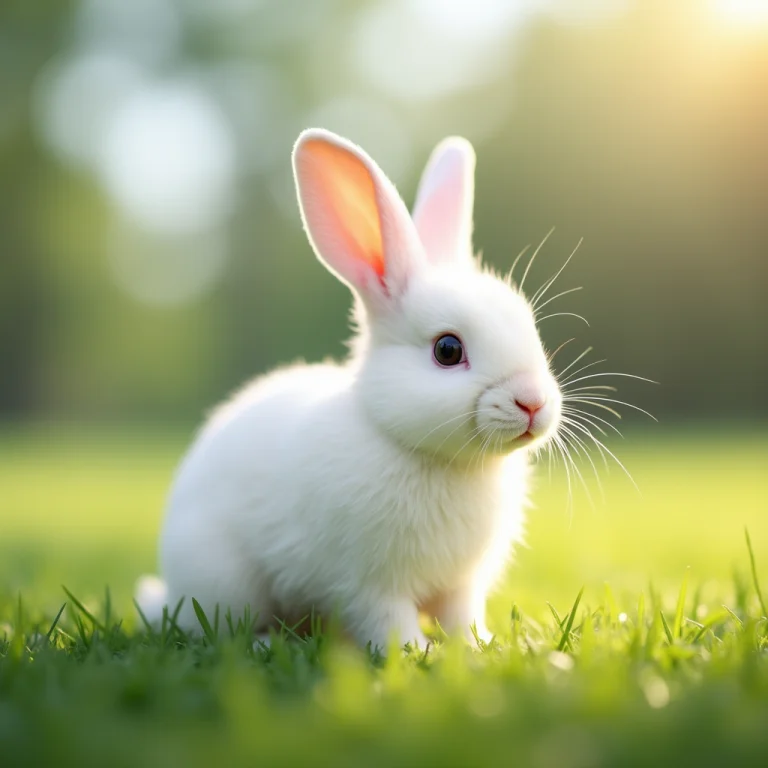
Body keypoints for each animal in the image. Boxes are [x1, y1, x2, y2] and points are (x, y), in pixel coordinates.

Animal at [135, 128, 562, 650]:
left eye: (529, 325)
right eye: (447, 349)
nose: (533, 402)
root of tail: (169, 590)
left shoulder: (462, 585)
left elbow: (462, 618)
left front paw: (480, 647)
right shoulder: (368, 584)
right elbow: (389, 620)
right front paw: (416, 653)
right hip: (225, 581)